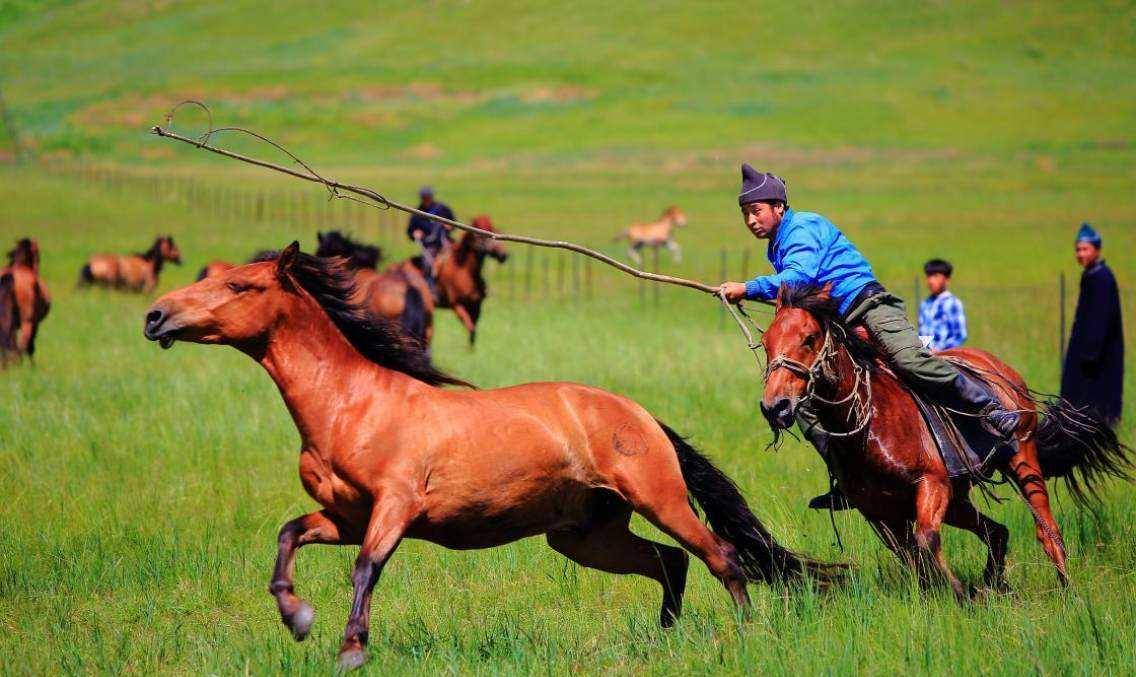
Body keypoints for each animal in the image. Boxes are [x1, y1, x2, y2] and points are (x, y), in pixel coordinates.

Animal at [142, 241, 845, 667]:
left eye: (238, 285)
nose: (154, 317)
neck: (352, 405)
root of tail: (639, 414)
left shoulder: (394, 508)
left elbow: (366, 569)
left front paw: (350, 648)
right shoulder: (344, 517)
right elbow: (289, 535)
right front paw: (297, 616)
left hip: (659, 500)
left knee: (720, 556)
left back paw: (748, 636)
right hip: (584, 536)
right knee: (669, 563)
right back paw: (662, 641)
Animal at [758, 282, 1131, 599]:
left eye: (809, 338)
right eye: (766, 344)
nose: (775, 406)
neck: (867, 421)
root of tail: (1000, 369)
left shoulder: (931, 482)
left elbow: (925, 541)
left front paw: (958, 592)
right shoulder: (878, 512)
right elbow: (910, 556)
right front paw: (946, 593)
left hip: (1021, 461)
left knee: (1046, 529)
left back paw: (1065, 590)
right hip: (958, 499)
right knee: (996, 531)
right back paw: (993, 585)